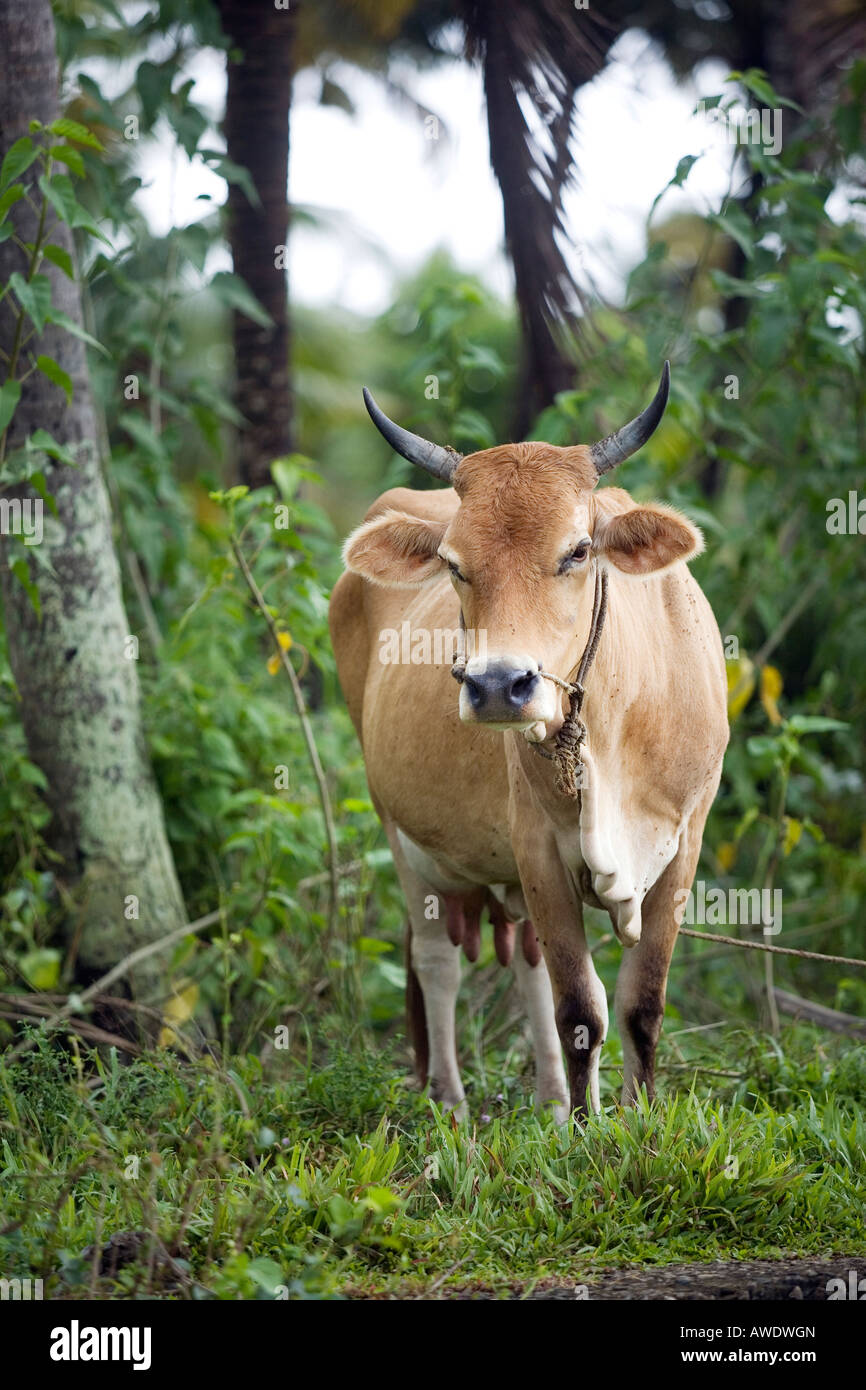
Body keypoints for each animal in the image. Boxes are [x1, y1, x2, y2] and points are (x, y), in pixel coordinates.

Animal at [329, 365, 729, 1119]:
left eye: (578, 550)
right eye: (454, 563)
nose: (497, 685)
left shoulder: (685, 841)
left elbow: (640, 1005)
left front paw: (633, 1119)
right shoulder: (538, 847)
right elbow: (582, 1010)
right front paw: (587, 1130)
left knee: (527, 966)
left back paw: (546, 1099)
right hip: (402, 834)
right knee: (438, 964)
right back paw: (452, 1102)